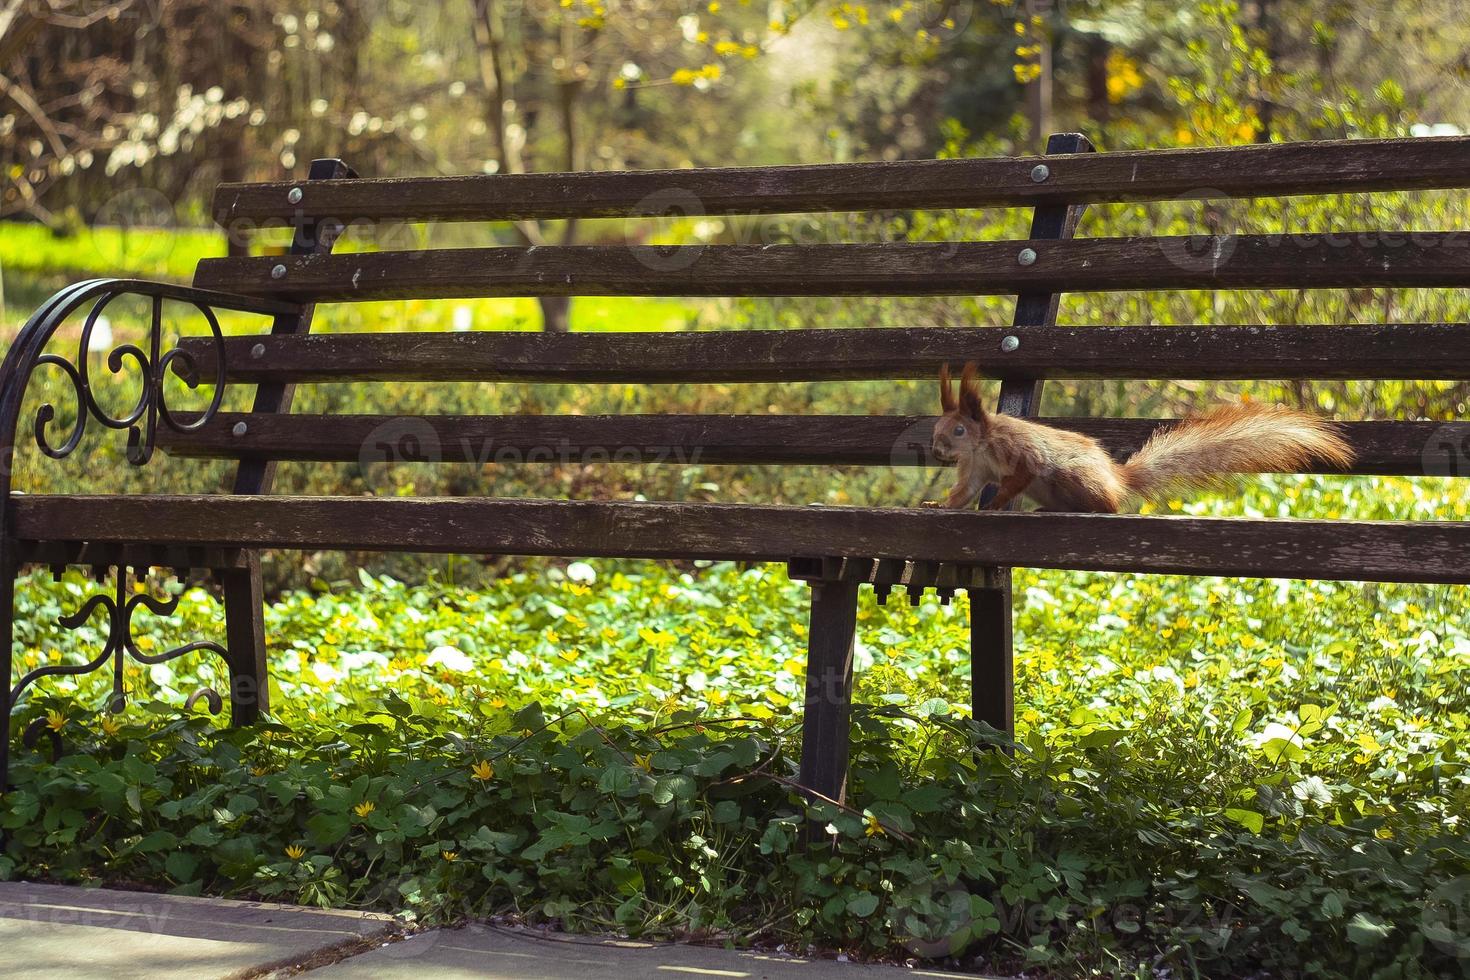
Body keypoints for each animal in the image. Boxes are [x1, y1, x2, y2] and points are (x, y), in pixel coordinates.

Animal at [929, 359, 1352, 514]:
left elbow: (1019, 476)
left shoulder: (1019, 452)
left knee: (1108, 507)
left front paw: (995, 504)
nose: (936, 450)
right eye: (937, 428)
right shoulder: (974, 468)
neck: (982, 444)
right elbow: (963, 492)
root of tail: (1117, 480)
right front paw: (939, 505)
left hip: (1074, 477)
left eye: (959, 429)